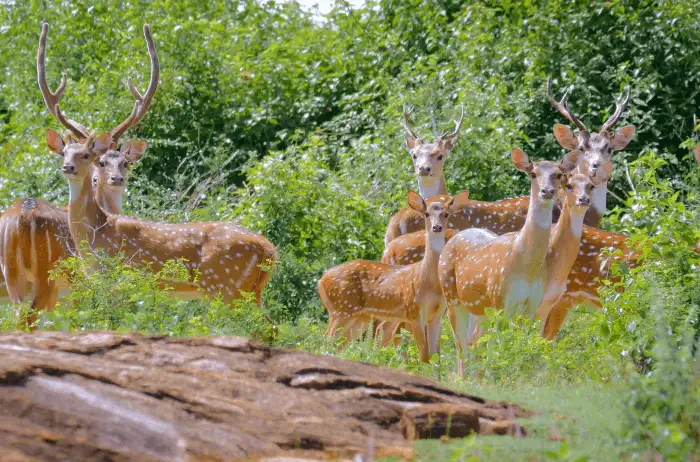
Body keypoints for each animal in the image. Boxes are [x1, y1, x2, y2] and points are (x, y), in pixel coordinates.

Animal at [0, 23, 157, 327]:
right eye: (99, 163)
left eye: (126, 163)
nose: (115, 180)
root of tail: (24, 217)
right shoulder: (84, 288)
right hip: (47, 281)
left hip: (14, 280)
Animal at [319, 191, 469, 362]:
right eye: (426, 213)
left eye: (446, 214)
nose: (436, 227)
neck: (428, 282)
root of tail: (322, 280)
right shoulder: (414, 311)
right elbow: (424, 356)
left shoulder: (436, 315)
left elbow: (435, 357)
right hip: (341, 310)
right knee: (326, 341)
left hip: (359, 318)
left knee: (339, 345)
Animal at [439, 149, 579, 376]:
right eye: (533, 173)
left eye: (558, 174)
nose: (547, 191)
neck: (527, 267)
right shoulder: (501, 301)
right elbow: (501, 346)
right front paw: (500, 376)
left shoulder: (532, 305)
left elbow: (521, 345)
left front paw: (519, 375)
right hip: (451, 296)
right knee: (460, 344)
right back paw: (464, 378)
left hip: (480, 307)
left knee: (473, 340)